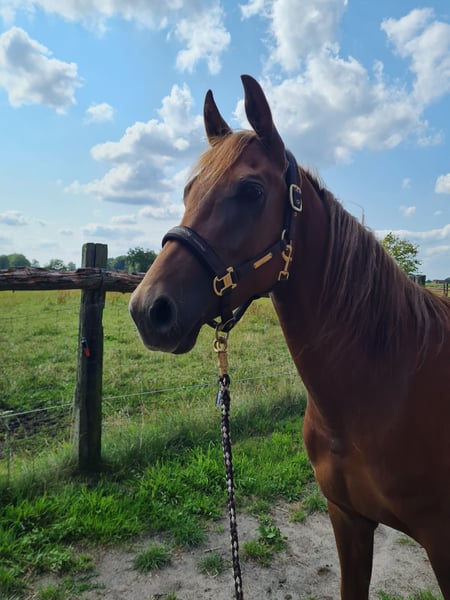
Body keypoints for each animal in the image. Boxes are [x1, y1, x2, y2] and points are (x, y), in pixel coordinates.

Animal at [129, 74, 450, 599]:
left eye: (251, 190)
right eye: (188, 189)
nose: (146, 309)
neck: (387, 384)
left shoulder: (443, 541)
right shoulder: (348, 520)